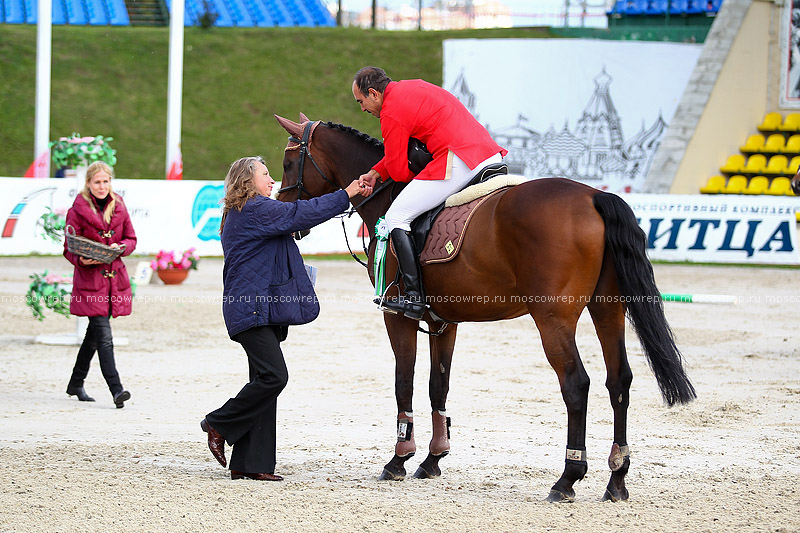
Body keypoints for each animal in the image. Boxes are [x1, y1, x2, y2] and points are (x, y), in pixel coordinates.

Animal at [274, 114, 692, 500]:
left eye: (288, 163)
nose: (285, 214)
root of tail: (593, 196)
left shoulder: (397, 317)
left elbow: (403, 380)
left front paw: (399, 458)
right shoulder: (443, 322)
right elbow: (438, 385)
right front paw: (433, 458)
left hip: (553, 318)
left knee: (576, 384)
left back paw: (567, 478)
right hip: (608, 310)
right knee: (618, 380)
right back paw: (616, 478)